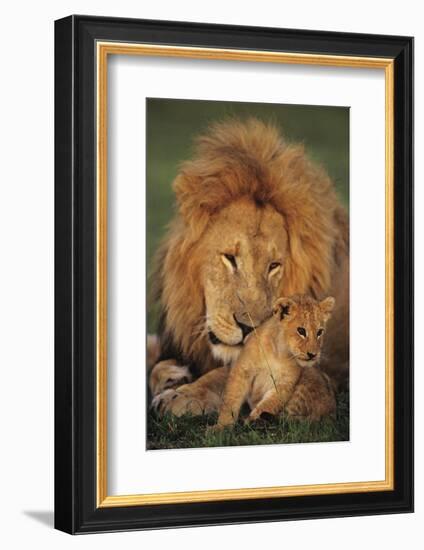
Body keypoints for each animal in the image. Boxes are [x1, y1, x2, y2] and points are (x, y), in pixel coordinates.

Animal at [149, 118, 348, 416]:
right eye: (230, 258)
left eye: (274, 266)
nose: (248, 329)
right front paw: (173, 374)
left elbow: (228, 374)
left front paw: (181, 394)